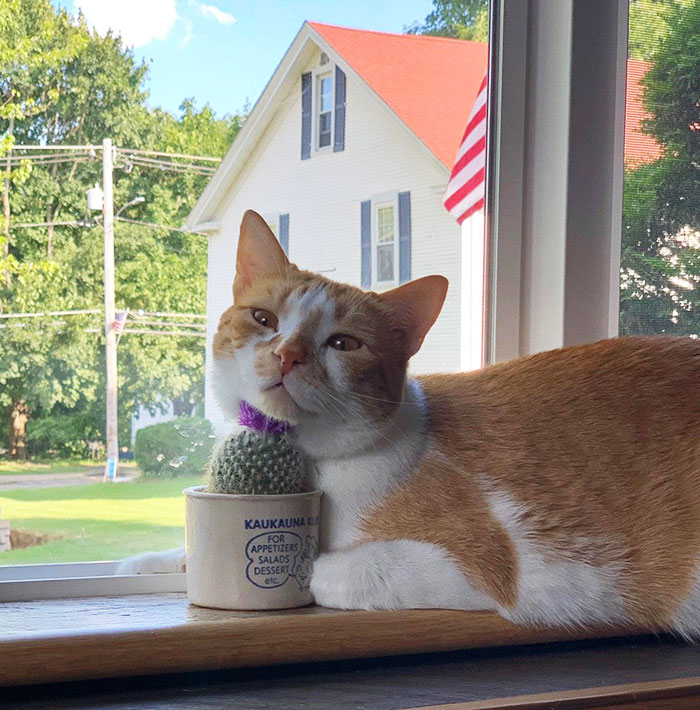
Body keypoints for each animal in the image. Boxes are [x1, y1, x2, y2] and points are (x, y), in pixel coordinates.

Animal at [120, 210, 700, 636]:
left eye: (343, 343)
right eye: (264, 319)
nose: (286, 355)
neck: (314, 463)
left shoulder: (497, 565)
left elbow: (329, 569)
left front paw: (308, 566)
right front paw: (152, 563)